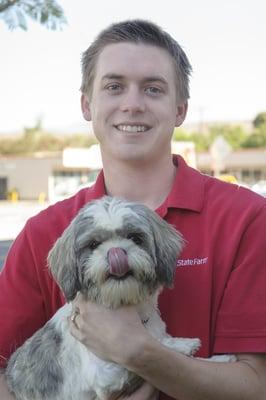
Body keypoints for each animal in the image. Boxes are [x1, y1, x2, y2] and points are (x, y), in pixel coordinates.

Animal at [5, 197, 235, 400]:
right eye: (93, 244)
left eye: (135, 237)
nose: (116, 252)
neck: (125, 307)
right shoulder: (107, 376)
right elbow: (153, 353)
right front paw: (185, 345)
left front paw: (219, 360)